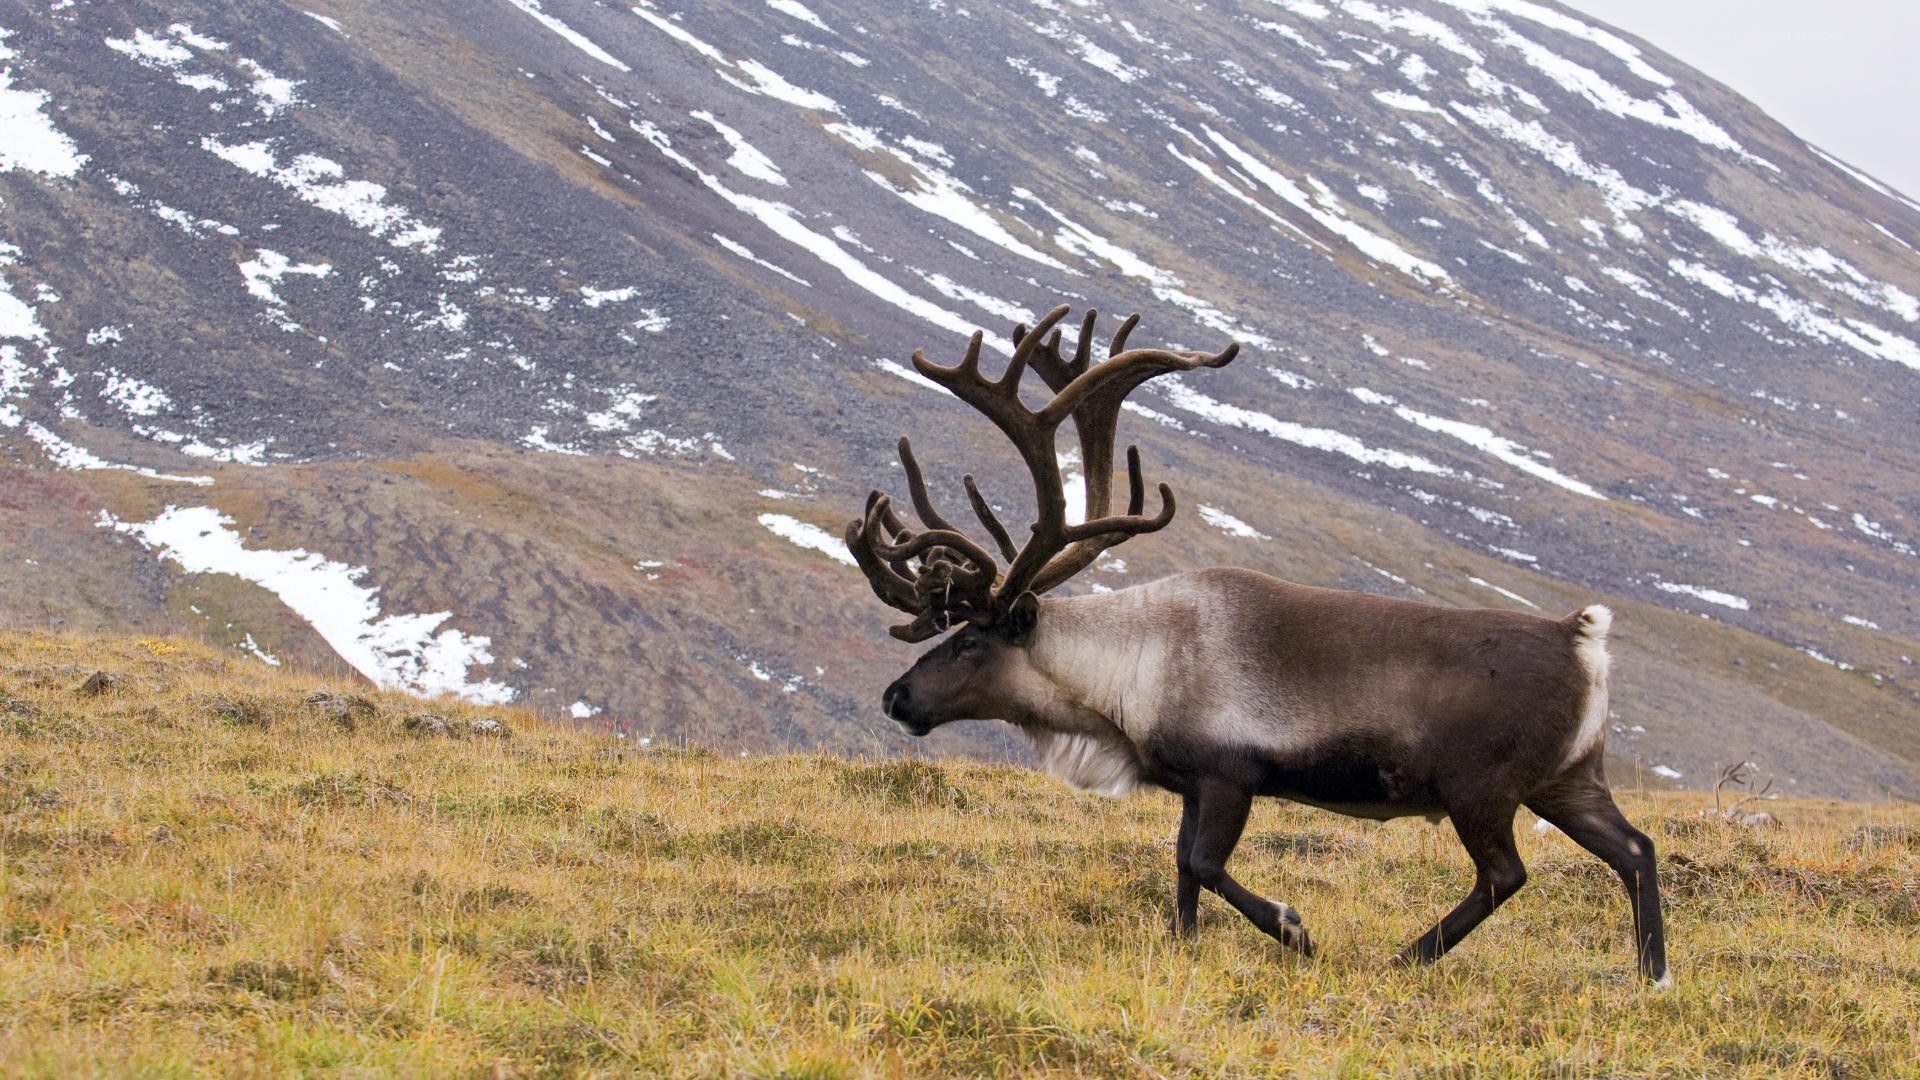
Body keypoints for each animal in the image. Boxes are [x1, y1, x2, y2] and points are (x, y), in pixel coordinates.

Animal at [845, 304, 1670, 986]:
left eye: (971, 642)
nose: (895, 696)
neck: (1131, 668)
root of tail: (1582, 639)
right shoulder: (1186, 783)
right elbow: (1181, 871)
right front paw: (1184, 949)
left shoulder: (1228, 776)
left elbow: (1206, 864)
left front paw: (1294, 928)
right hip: (1566, 779)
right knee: (1634, 849)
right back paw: (1651, 975)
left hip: (1482, 787)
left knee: (1505, 874)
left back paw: (1407, 957)